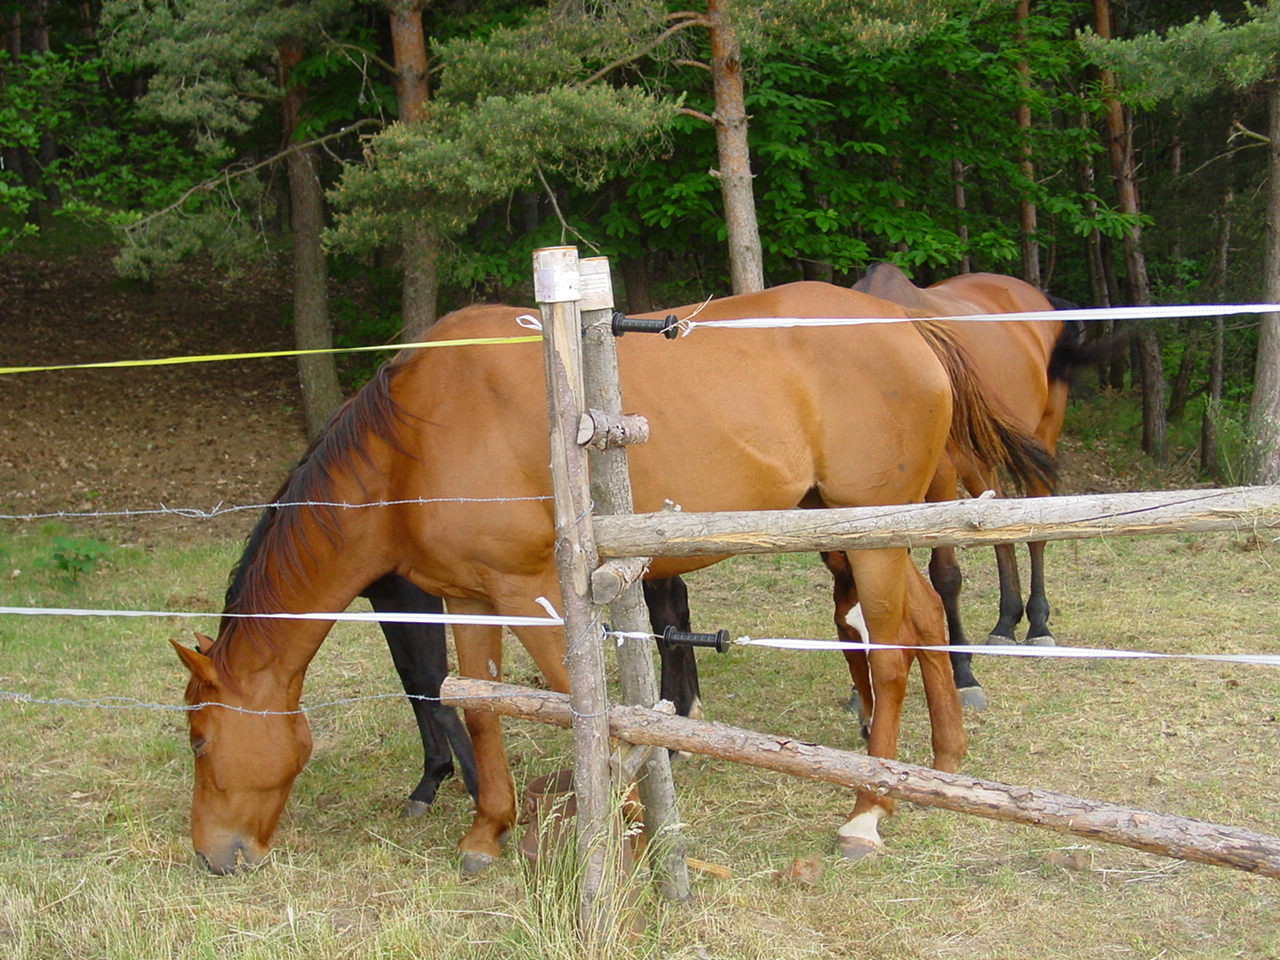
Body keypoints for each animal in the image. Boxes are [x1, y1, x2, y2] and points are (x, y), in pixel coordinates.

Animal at [172, 281, 1049, 875]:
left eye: (201, 739)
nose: (215, 854)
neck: (416, 444)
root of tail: (907, 324)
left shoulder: (533, 596)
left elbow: (586, 706)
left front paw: (627, 827)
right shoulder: (468, 596)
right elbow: (481, 709)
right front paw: (486, 832)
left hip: (867, 538)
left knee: (891, 656)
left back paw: (868, 810)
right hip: (866, 530)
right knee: (927, 624)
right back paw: (940, 765)